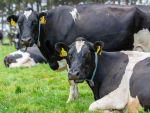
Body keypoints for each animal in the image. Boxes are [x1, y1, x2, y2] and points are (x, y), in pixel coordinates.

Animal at [6, 3, 150, 102]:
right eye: (19, 23)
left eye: (35, 22)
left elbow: (71, 80)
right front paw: (76, 97)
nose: (26, 40)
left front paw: (71, 99)